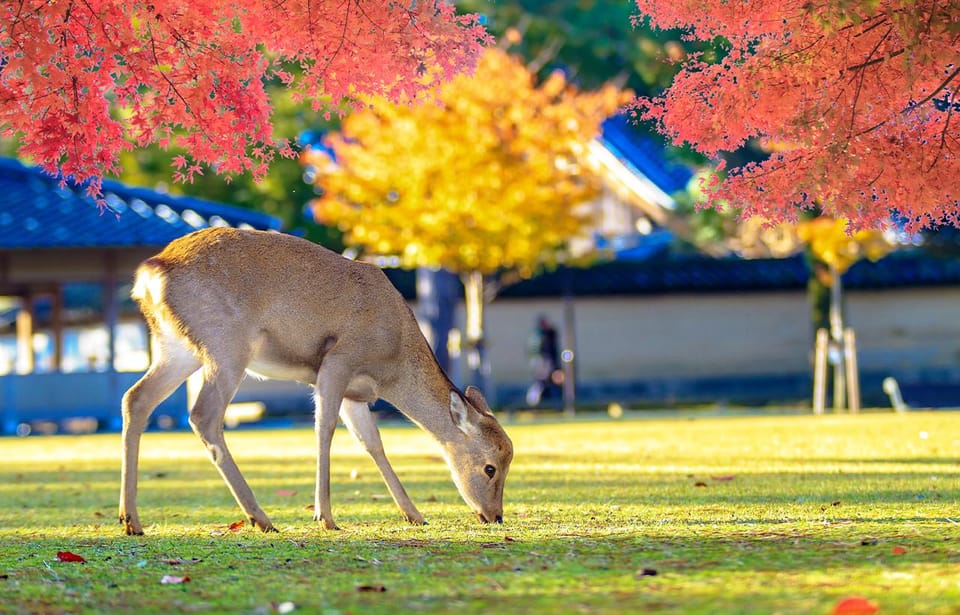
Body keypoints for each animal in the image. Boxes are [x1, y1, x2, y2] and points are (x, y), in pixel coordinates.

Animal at [120, 226, 512, 536]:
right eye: (490, 467)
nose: (495, 516)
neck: (392, 365)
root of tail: (151, 273)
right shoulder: (337, 361)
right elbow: (324, 429)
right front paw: (325, 517)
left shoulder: (357, 394)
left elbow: (373, 443)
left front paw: (414, 514)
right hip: (226, 346)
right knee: (203, 415)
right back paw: (261, 518)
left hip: (177, 348)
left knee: (135, 398)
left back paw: (131, 520)